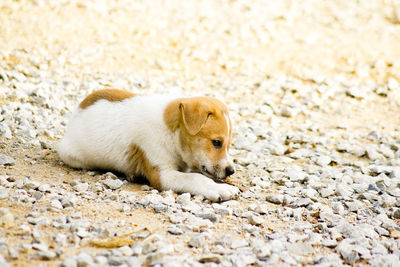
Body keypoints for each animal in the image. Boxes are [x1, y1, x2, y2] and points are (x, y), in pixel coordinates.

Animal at [57, 89, 239, 202]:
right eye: (217, 142)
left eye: (228, 145)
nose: (231, 171)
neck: (171, 132)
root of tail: (79, 108)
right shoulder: (162, 174)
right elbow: (195, 178)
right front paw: (219, 189)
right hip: (71, 155)